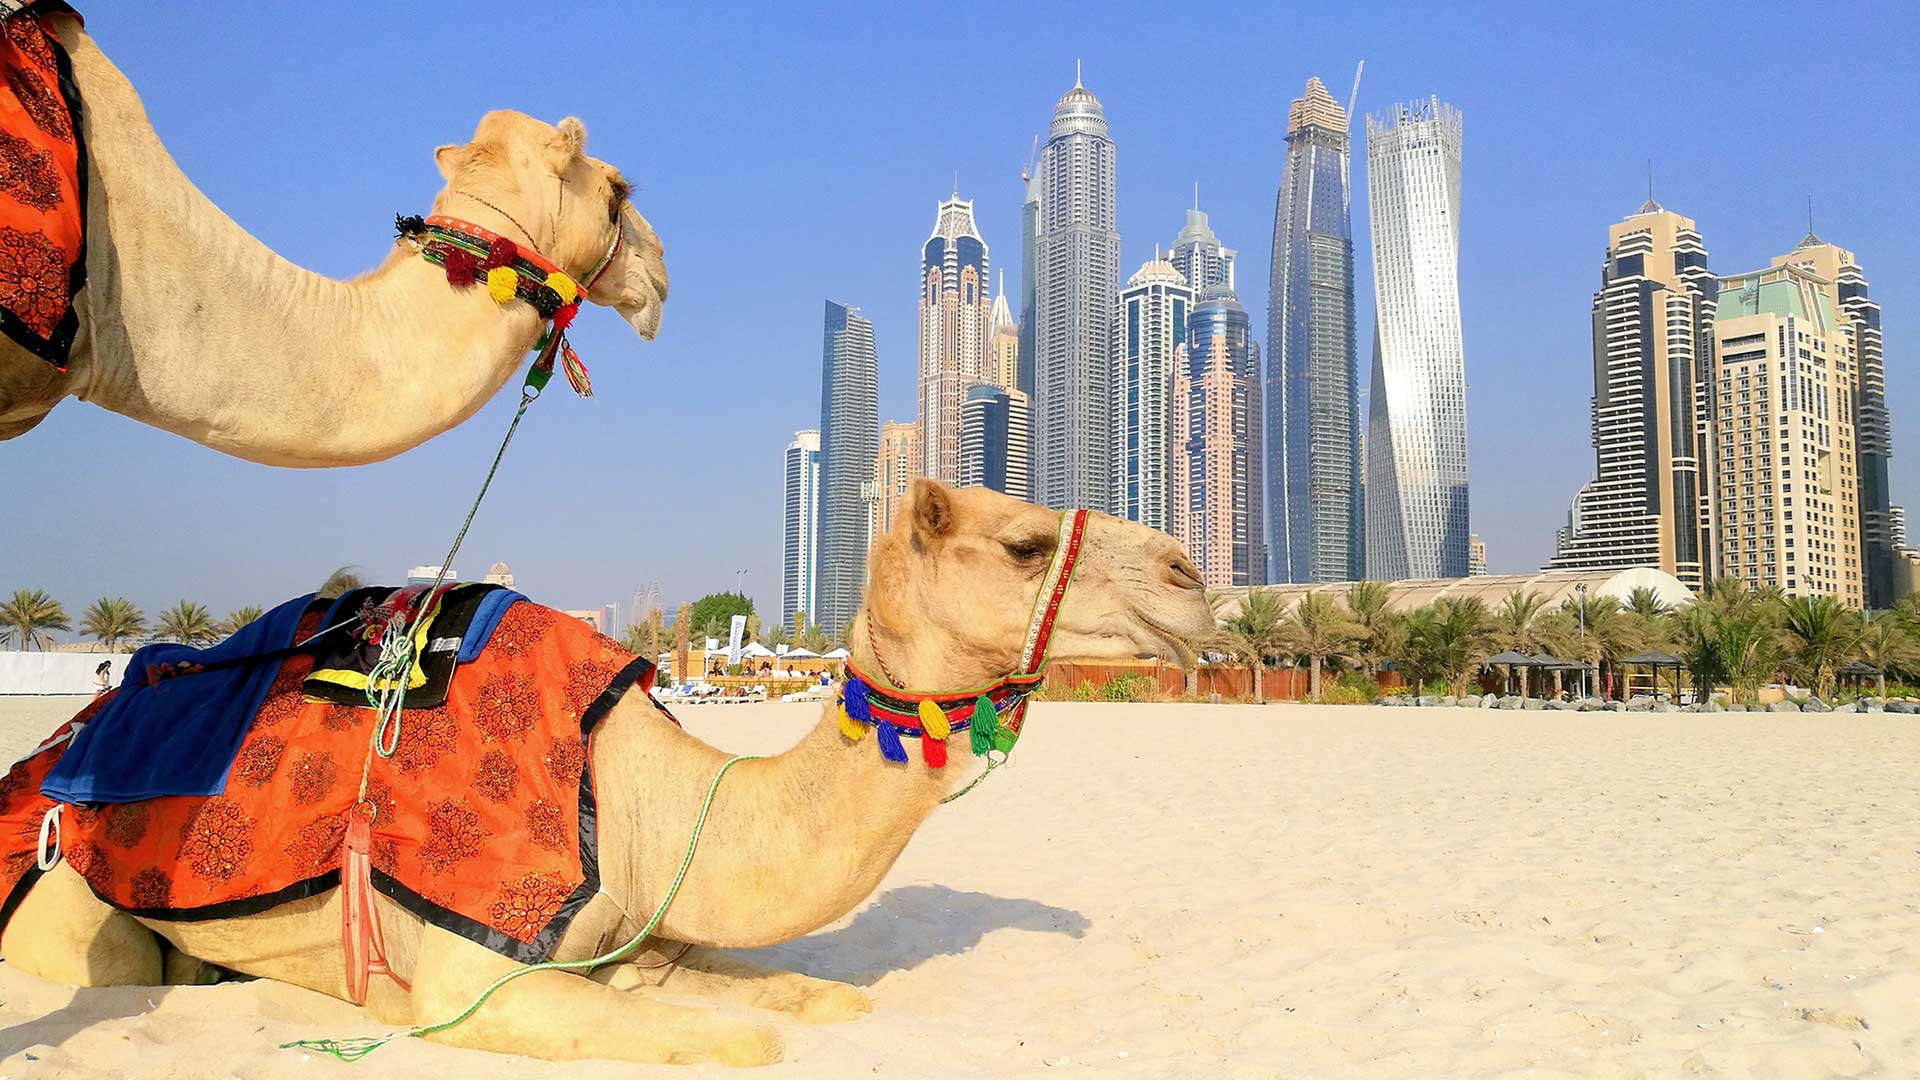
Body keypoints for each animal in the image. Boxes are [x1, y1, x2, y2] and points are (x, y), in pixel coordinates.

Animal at [0, 484, 1213, 1060]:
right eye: (1020, 543)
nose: (1192, 575)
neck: (631, 794)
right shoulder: (472, 968)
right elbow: (748, 1037)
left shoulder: (643, 930)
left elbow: (806, 994)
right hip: (70, 899)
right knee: (112, 963)